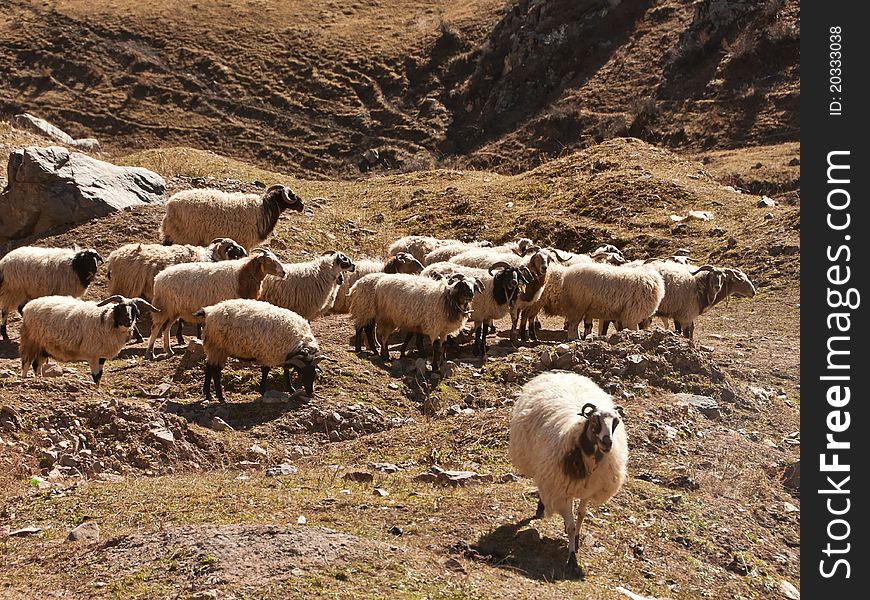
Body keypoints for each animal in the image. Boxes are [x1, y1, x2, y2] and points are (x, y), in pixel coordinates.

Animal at [20, 294, 158, 386]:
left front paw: (98, 388)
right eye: (120, 308)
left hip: (44, 347)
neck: (107, 320)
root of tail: (29, 305)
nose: (128, 320)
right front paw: (96, 389)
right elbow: (95, 376)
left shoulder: (101, 355)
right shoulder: (93, 355)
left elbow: (100, 375)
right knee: (26, 363)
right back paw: (24, 379)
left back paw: (39, 380)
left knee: (36, 364)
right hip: (31, 341)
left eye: (134, 310)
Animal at [147, 247, 286, 356]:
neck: (244, 275)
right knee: (156, 327)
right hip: (163, 306)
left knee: (166, 327)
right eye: (269, 260)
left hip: (174, 310)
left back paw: (168, 350)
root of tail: (158, 277)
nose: (284, 272)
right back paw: (150, 352)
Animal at [160, 183, 306, 248]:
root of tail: (171, 205)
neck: (265, 209)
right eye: (292, 195)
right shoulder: (246, 242)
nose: (302, 205)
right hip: (185, 236)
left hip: (173, 234)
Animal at [193, 298, 324, 400]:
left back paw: (207, 393)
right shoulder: (268, 353)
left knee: (209, 367)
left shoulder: (283, 355)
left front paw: (291, 388)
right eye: (302, 374)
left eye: (314, 374)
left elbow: (286, 371)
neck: (297, 340)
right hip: (218, 347)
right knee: (215, 370)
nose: (310, 393)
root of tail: (209, 311)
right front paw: (263, 390)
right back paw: (220, 397)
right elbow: (266, 371)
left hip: (215, 348)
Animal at [510, 370, 628, 576]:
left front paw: (577, 541)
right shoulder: (561, 489)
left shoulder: (589, 490)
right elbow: (572, 526)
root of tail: (559, 373)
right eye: (595, 419)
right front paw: (572, 558)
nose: (607, 442)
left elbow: (581, 515)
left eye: (616, 421)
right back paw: (541, 508)